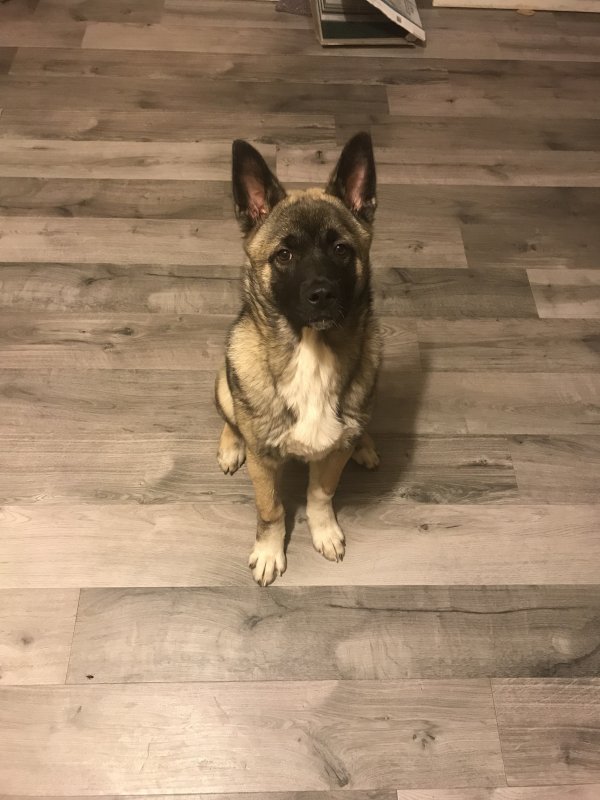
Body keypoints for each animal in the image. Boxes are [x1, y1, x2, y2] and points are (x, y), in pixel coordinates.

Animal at [215, 132, 382, 586]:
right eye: (283, 256)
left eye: (341, 249)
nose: (322, 294)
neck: (311, 351)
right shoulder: (264, 464)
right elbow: (270, 509)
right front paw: (270, 552)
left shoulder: (330, 458)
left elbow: (321, 493)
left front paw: (324, 531)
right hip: (223, 385)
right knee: (230, 419)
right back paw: (230, 446)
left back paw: (364, 444)